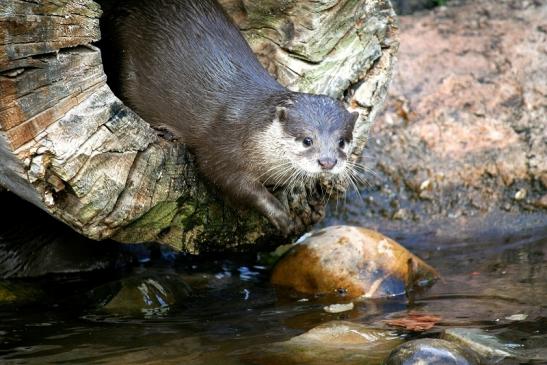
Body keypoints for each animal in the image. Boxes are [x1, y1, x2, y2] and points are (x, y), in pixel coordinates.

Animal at [98, 0, 360, 233]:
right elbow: (232, 182)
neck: (253, 131)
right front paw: (280, 215)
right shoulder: (223, 149)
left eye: (342, 141)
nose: (327, 162)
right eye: (307, 140)